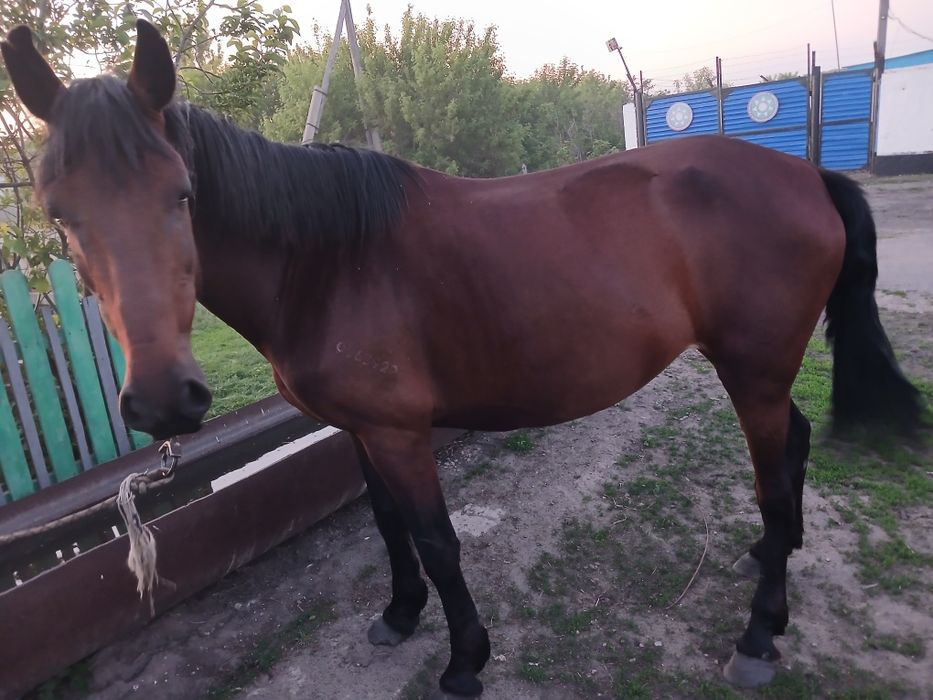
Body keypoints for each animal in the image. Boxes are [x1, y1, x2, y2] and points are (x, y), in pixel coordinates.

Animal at [2, 20, 922, 697]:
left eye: (183, 194)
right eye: (57, 213)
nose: (163, 401)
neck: (326, 262)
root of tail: (804, 176)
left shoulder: (402, 433)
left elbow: (436, 539)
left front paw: (463, 660)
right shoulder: (358, 428)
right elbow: (388, 526)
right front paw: (399, 615)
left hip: (751, 370)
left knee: (771, 474)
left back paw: (759, 633)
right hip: (760, 371)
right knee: (793, 449)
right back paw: (771, 558)